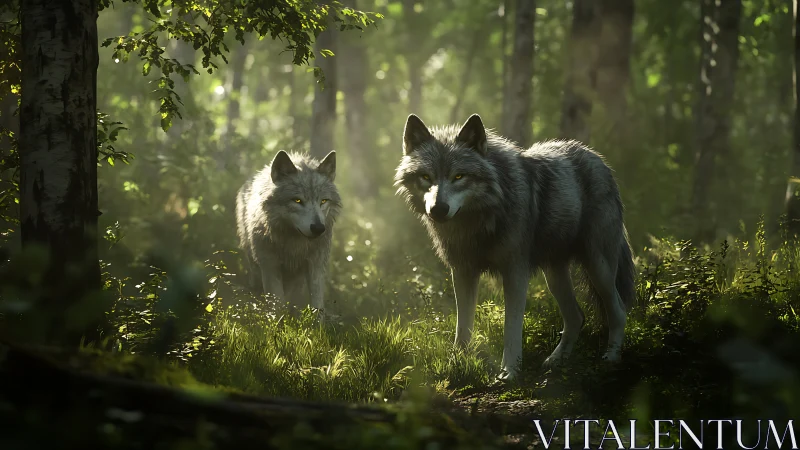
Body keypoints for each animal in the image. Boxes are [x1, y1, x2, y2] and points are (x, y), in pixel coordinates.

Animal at [236, 150, 342, 313]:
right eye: (297, 201)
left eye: (323, 201)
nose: (318, 228)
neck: (294, 244)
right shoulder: (270, 267)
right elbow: (277, 304)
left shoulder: (316, 265)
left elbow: (317, 305)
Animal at [394, 114, 636, 380]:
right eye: (426, 177)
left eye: (459, 176)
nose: (438, 209)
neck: (478, 222)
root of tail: (597, 157)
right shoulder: (462, 273)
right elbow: (462, 326)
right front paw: (457, 364)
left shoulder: (515, 273)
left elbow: (511, 326)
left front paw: (509, 371)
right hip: (554, 276)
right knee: (576, 317)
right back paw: (556, 360)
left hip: (598, 267)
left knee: (619, 310)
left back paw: (611, 357)